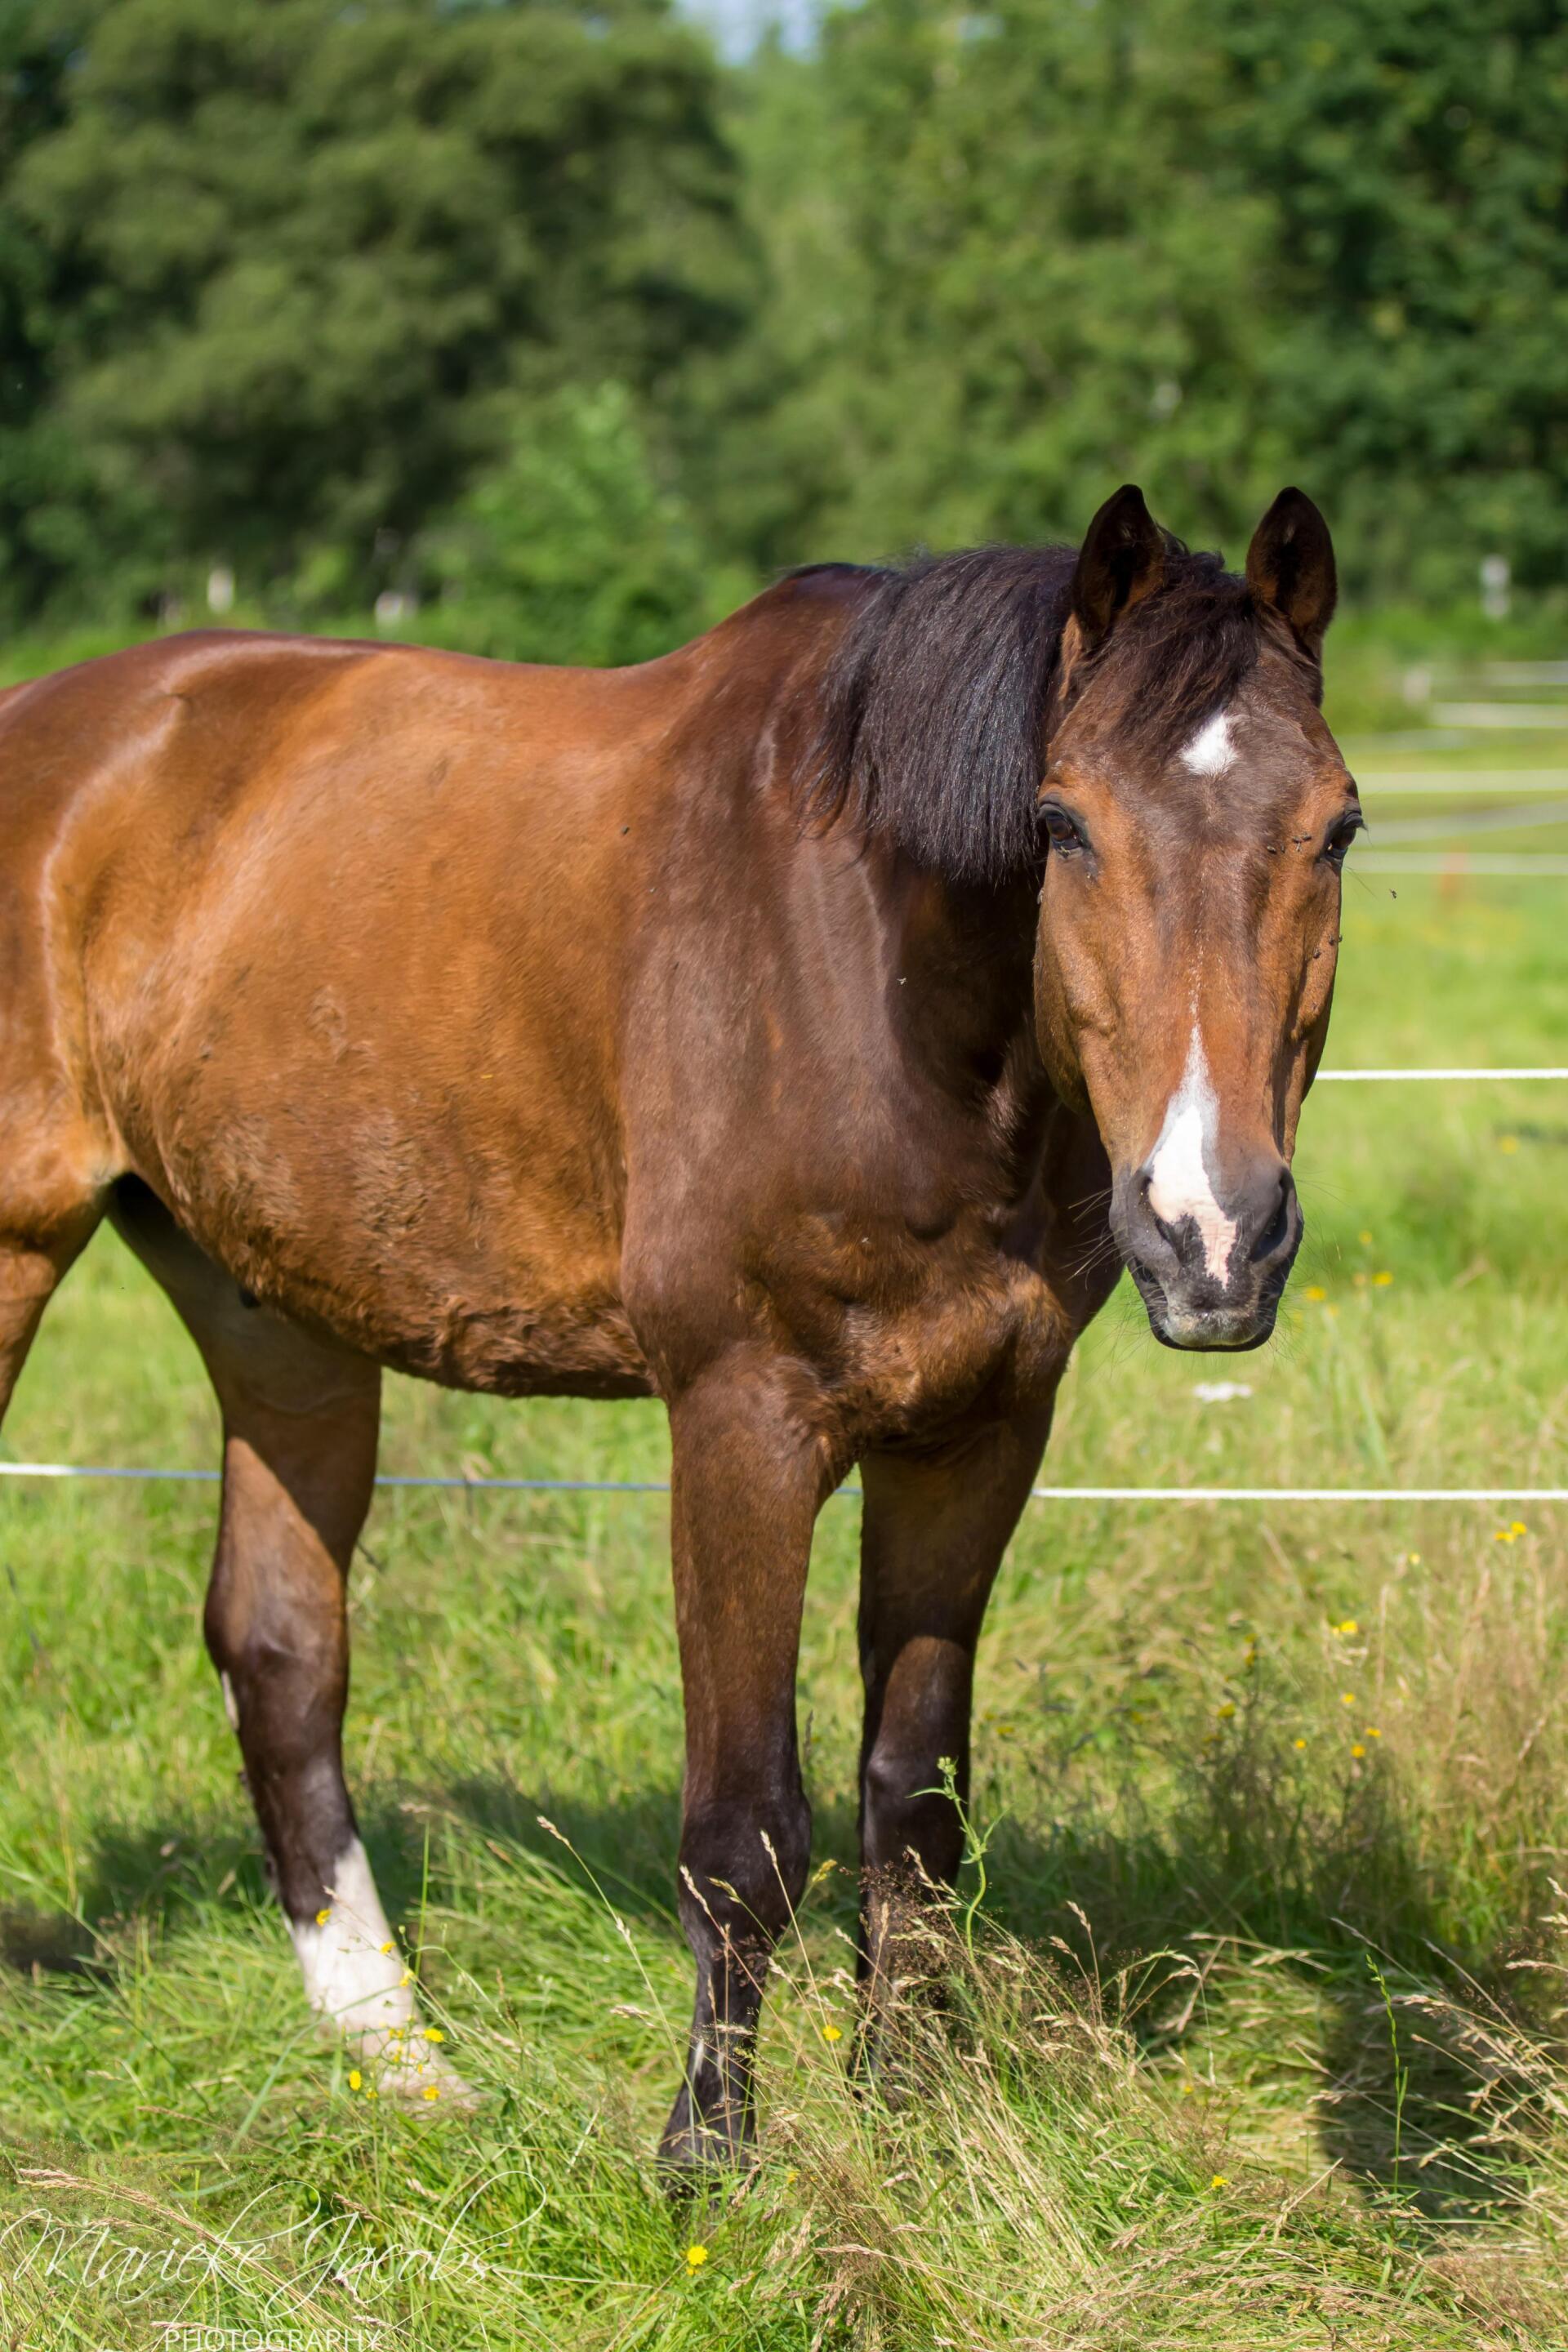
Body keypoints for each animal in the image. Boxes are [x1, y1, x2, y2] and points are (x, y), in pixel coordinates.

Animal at [0, 482, 1357, 2163]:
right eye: (1063, 825)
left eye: (1340, 827)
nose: (1211, 1231)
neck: (868, 972)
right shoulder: (741, 1420)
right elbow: (745, 1828)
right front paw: (709, 2155)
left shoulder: (979, 1426)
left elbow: (912, 1799)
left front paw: (909, 2121)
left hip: (274, 1314)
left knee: (283, 1650)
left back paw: (403, 2062)